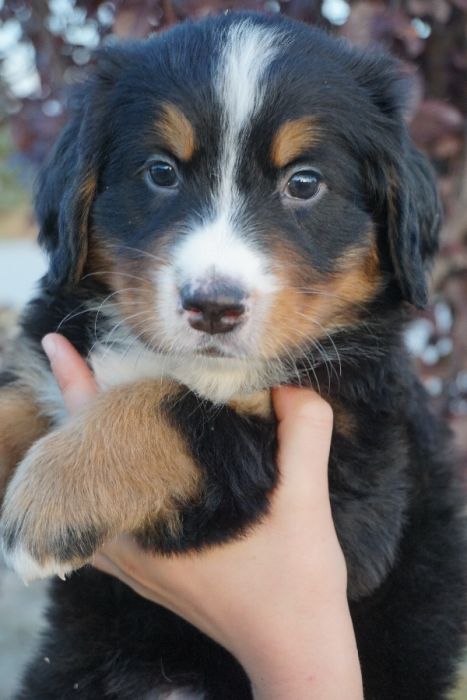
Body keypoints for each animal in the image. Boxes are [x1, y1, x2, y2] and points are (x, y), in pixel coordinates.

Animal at [0, 10, 467, 700]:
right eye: (161, 172)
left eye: (304, 183)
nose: (213, 306)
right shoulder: (46, 356)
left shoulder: (355, 483)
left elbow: (178, 408)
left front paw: (54, 495)